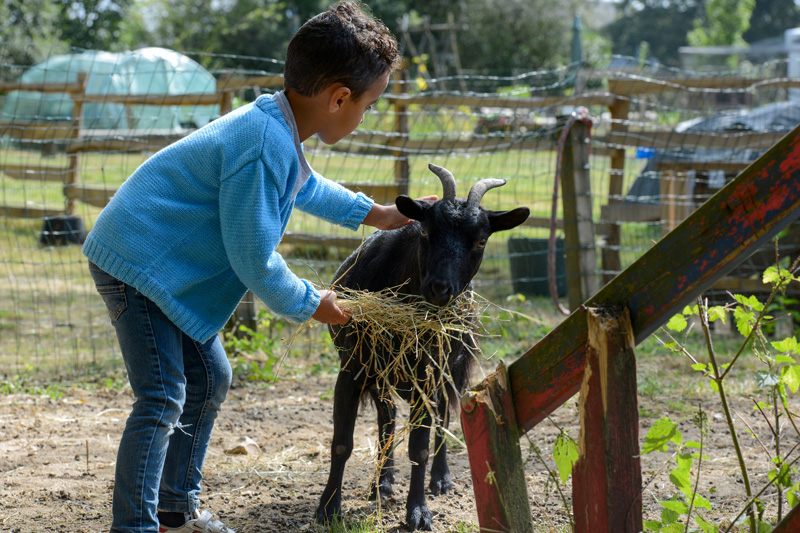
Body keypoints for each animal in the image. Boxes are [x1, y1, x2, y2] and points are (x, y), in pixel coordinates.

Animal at [314, 164, 532, 528]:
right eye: (427, 232)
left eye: (481, 240)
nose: (440, 288)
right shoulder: (353, 368)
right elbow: (342, 443)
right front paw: (328, 508)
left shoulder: (427, 375)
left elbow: (419, 446)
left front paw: (418, 512)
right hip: (383, 375)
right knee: (387, 419)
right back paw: (382, 483)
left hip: (448, 370)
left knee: (442, 416)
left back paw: (440, 480)